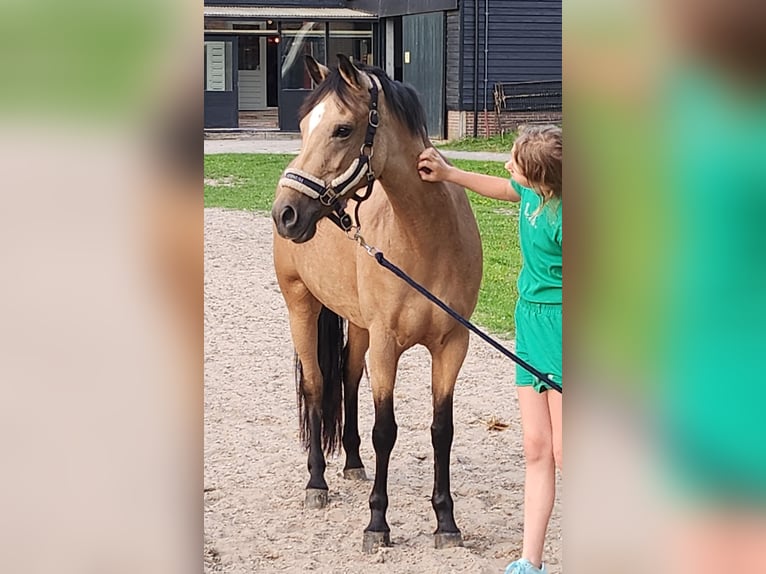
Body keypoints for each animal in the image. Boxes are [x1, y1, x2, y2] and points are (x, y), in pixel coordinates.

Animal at [271, 54, 483, 553]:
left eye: (342, 129)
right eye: (304, 125)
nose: (285, 213)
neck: (427, 239)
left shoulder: (452, 345)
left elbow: (441, 430)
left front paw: (446, 521)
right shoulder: (387, 347)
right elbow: (385, 430)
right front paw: (377, 523)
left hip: (359, 325)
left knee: (347, 380)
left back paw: (351, 462)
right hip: (301, 306)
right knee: (316, 386)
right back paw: (317, 482)